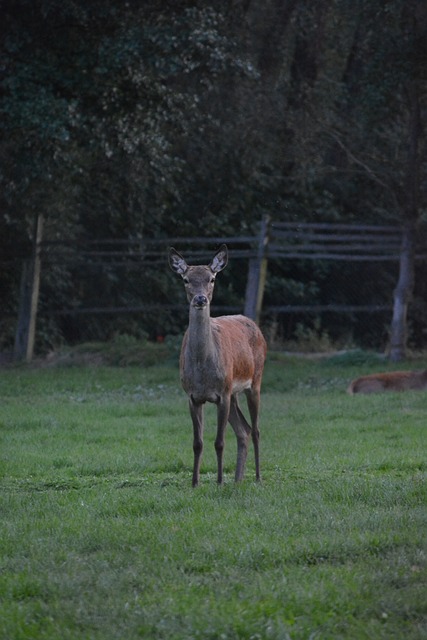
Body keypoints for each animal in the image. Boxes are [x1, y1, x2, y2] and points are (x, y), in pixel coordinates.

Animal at [168, 244, 266, 484]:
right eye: (186, 279)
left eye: (212, 278)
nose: (201, 299)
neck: (203, 369)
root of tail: (255, 325)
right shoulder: (193, 396)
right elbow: (198, 443)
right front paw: (195, 483)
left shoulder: (222, 394)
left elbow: (219, 442)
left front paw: (220, 481)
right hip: (234, 392)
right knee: (244, 430)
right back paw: (238, 479)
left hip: (254, 382)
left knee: (256, 430)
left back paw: (257, 477)